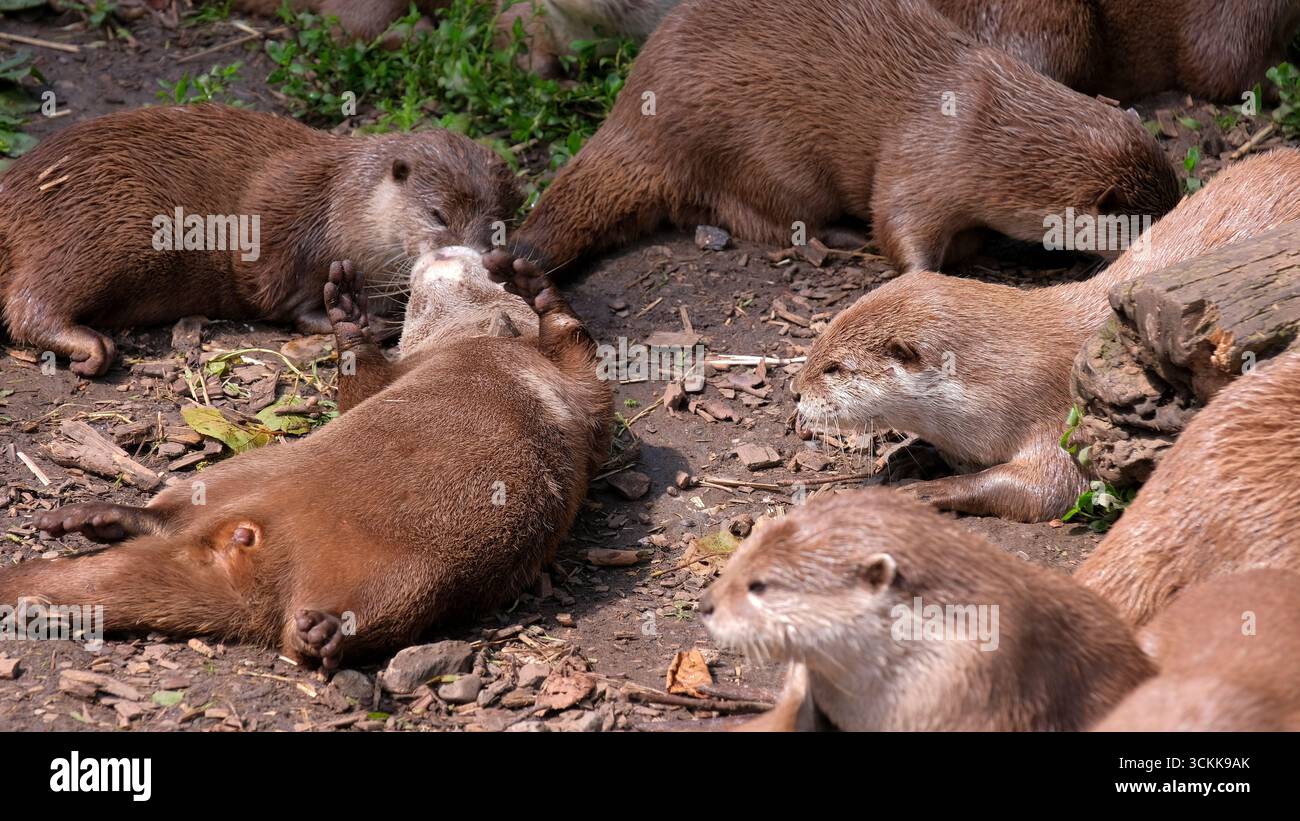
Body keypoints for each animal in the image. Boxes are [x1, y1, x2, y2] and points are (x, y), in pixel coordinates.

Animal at [0, 104, 519, 377]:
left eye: (500, 224)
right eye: (437, 215)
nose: (477, 258)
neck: (342, 207)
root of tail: (15, 192)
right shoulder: (291, 244)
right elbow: (291, 305)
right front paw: (359, 318)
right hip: (101, 227)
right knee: (28, 305)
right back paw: (90, 348)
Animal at [1, 250, 611, 669]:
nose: (443, 247)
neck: (482, 345)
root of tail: (242, 545)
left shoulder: (580, 401)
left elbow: (583, 363)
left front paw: (540, 291)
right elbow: (361, 389)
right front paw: (346, 314)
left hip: (415, 575)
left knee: (334, 625)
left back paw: (323, 630)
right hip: (246, 471)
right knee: (171, 510)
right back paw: (98, 516)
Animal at [509, 0, 1178, 274]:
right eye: (1150, 225)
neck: (984, 129)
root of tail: (633, 109)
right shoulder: (921, 162)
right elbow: (896, 224)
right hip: (766, 154)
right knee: (750, 214)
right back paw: (833, 237)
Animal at [795, 149, 1300, 522]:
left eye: (835, 368)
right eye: (819, 344)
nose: (796, 392)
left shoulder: (1071, 421)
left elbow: (1043, 490)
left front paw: (923, 491)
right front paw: (904, 458)